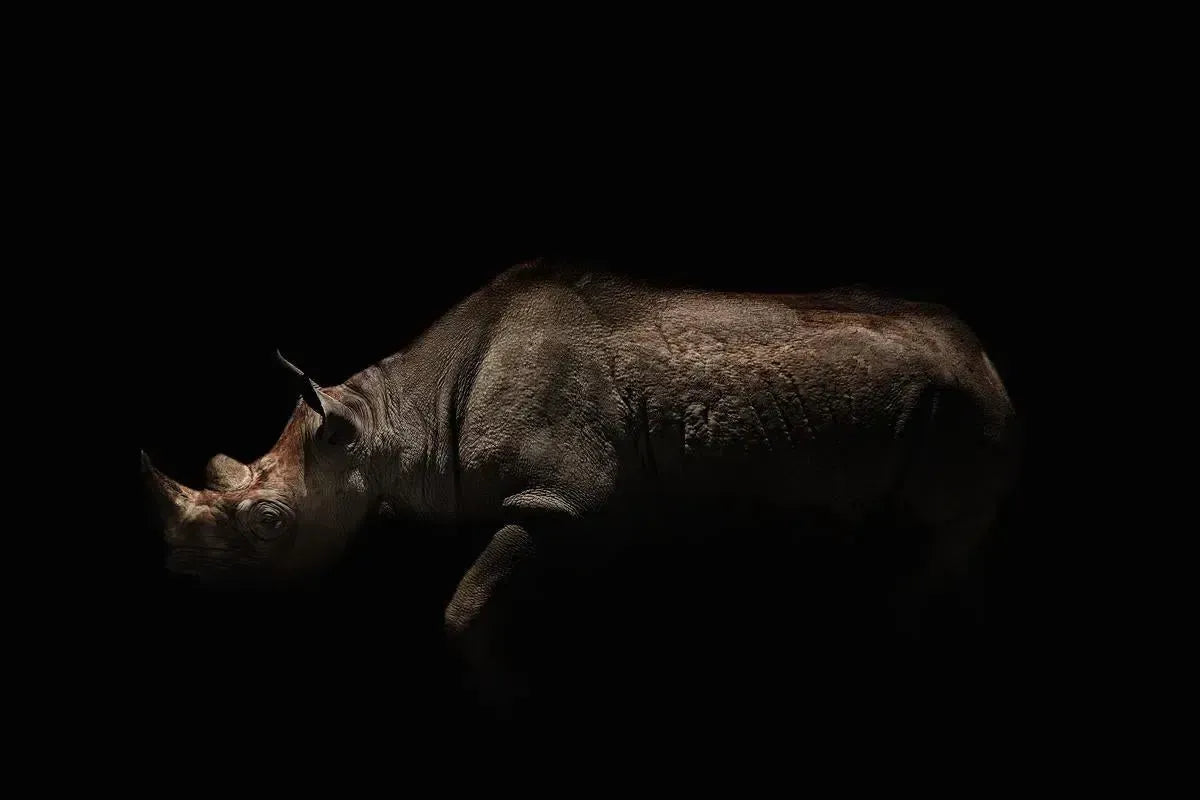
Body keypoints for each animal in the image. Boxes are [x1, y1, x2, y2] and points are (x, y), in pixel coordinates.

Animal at [142, 261, 1019, 707]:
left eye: (267, 520)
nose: (179, 569)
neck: (392, 417)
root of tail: (985, 358)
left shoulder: (565, 501)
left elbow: (463, 607)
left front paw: (510, 695)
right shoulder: (576, 512)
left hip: (961, 412)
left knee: (937, 540)